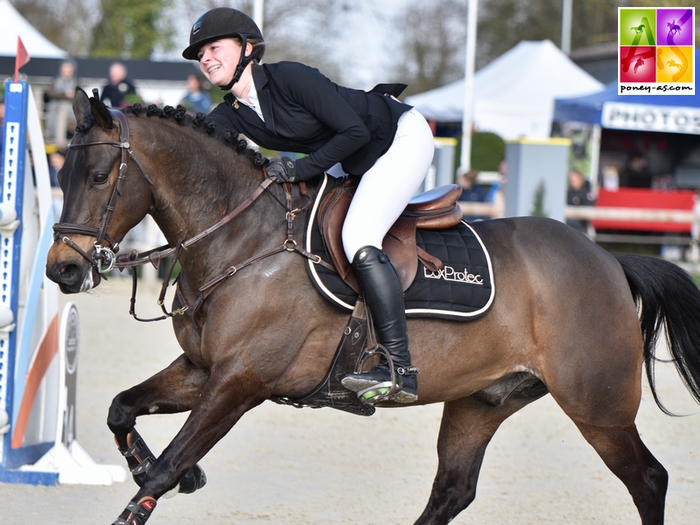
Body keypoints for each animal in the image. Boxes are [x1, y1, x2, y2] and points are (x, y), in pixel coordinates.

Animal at [45, 88, 700, 520]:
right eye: (63, 171)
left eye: (98, 175)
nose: (62, 269)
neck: (243, 240)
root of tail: (609, 260)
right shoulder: (203, 370)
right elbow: (122, 410)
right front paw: (175, 469)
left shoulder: (240, 382)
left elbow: (166, 467)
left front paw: (173, 474)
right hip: (482, 401)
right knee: (452, 490)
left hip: (597, 405)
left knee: (648, 479)